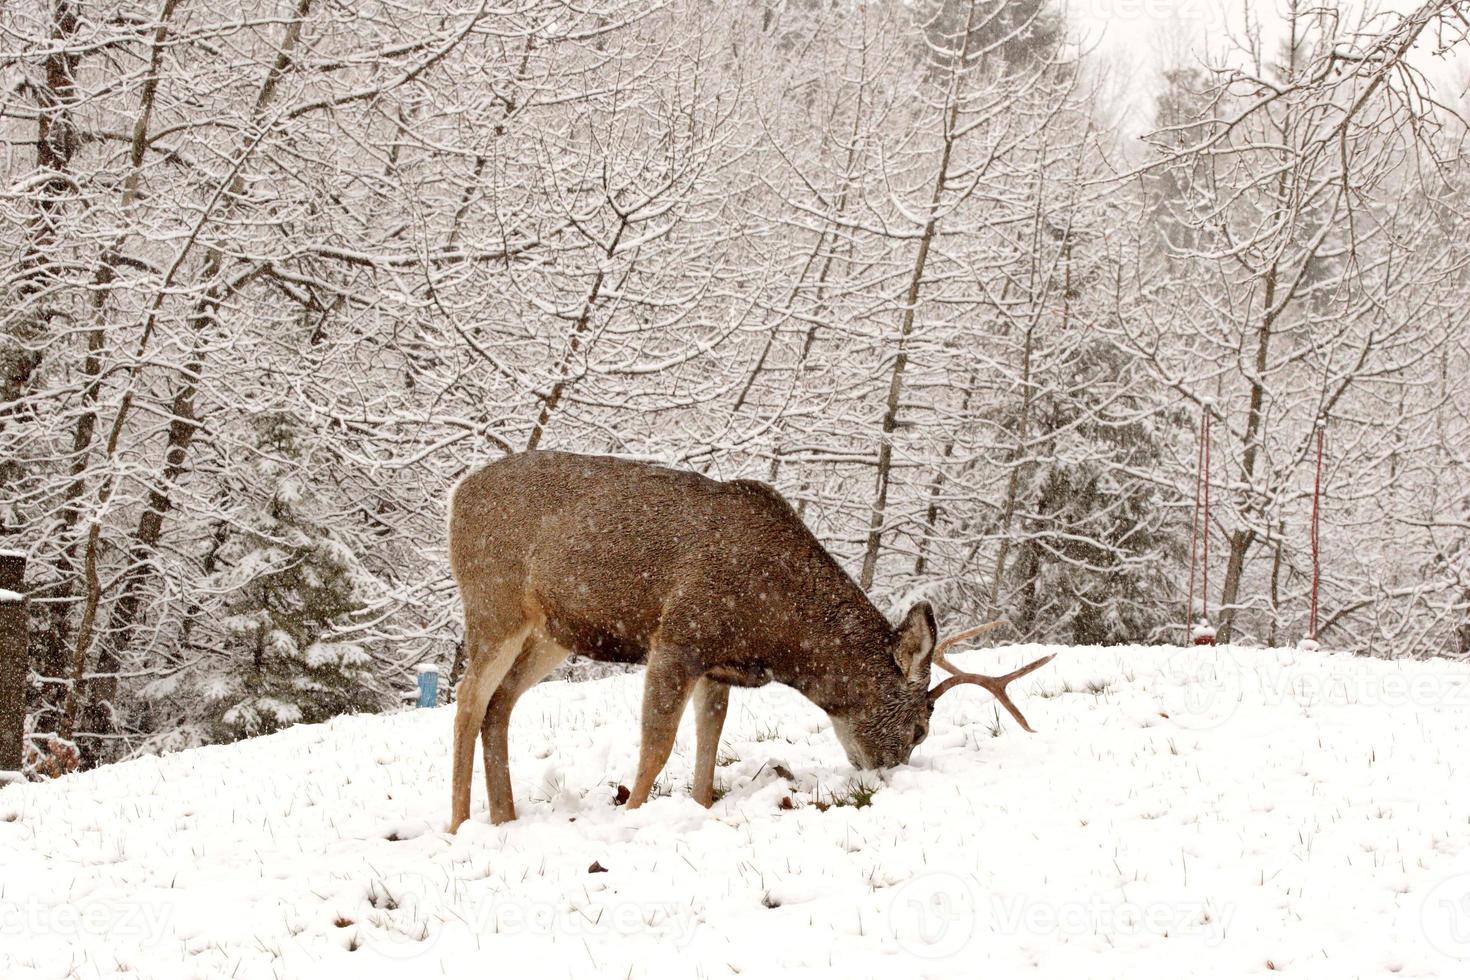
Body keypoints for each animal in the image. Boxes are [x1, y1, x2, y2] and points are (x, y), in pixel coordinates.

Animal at [441, 449, 1052, 834]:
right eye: (920, 727)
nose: (884, 776)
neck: (775, 633)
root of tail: (455, 495)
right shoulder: (679, 634)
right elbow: (657, 744)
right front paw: (632, 816)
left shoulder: (718, 665)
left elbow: (709, 742)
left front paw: (700, 807)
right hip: (493, 601)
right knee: (469, 698)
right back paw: (459, 822)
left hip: (551, 632)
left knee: (499, 703)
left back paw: (505, 818)